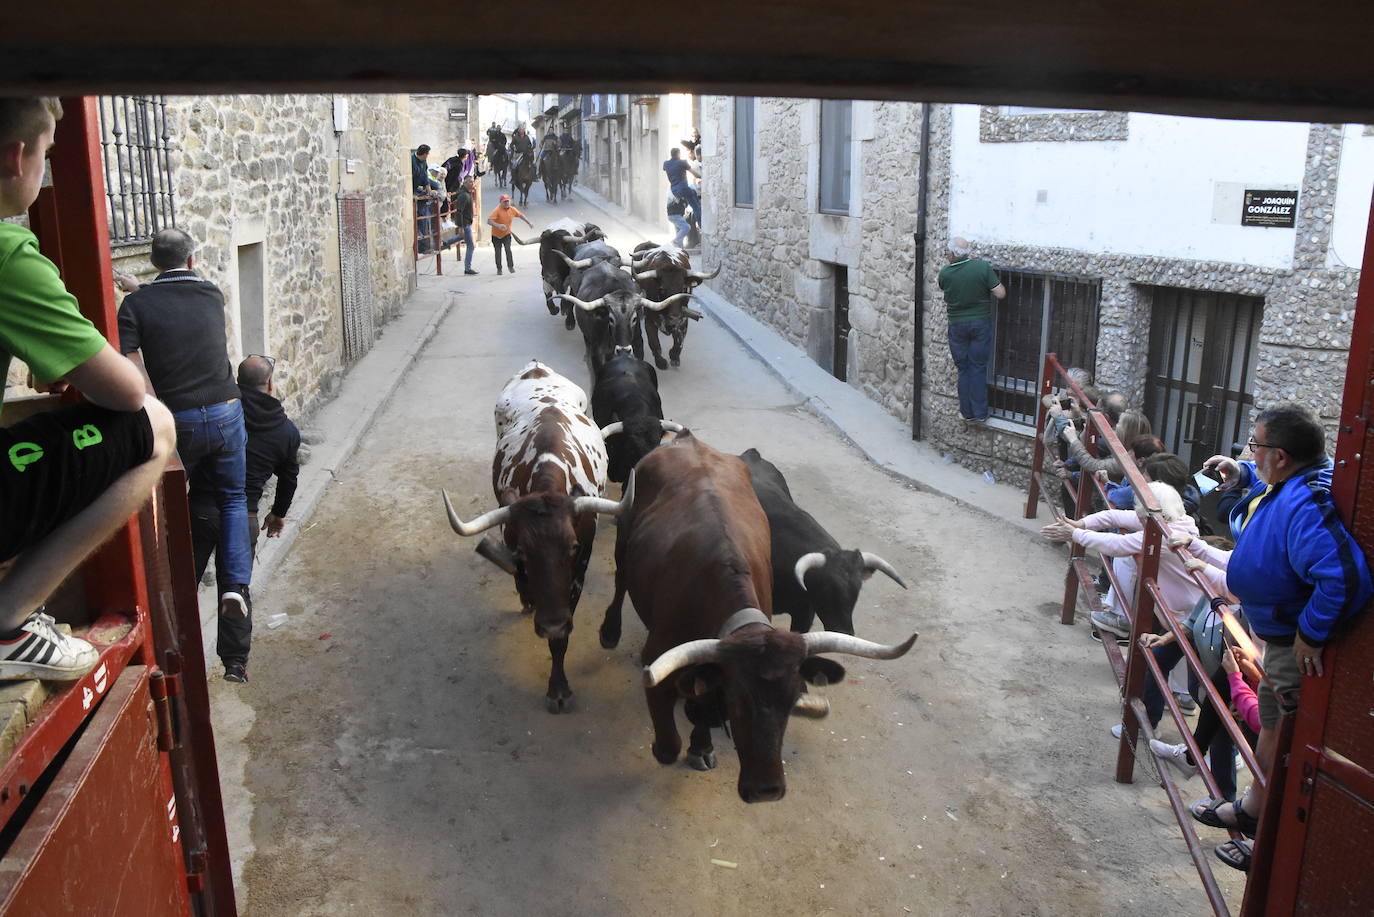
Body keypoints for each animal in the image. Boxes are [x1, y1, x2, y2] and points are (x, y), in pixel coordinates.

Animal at [442, 362, 626, 714]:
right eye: (523, 552)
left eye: (573, 547)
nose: (551, 623)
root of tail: (537, 367)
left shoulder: (577, 575)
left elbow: (561, 641)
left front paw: (558, 688)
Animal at [599, 431, 912, 802]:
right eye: (735, 701)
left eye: (790, 701)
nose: (766, 790)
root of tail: (687, 440)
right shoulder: (661, 665)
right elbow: (668, 746)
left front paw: (701, 746)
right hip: (624, 536)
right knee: (620, 581)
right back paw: (610, 631)